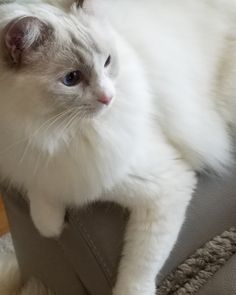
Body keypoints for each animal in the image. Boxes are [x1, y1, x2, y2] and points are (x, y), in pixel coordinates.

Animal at [0, 0, 234, 294]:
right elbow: (42, 203)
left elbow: (138, 270)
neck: (56, 131)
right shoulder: (33, 161)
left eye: (108, 62)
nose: (108, 97)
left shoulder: (165, 186)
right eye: (71, 78)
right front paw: (51, 225)